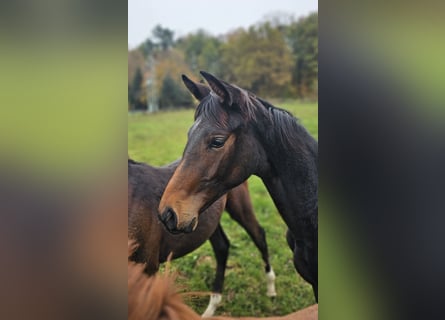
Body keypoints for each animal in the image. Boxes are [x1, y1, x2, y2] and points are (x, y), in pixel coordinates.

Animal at [126, 158, 276, 316]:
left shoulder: (147, 266)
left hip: (239, 206)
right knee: (222, 247)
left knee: (259, 235)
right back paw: (212, 306)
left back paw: (271, 288)